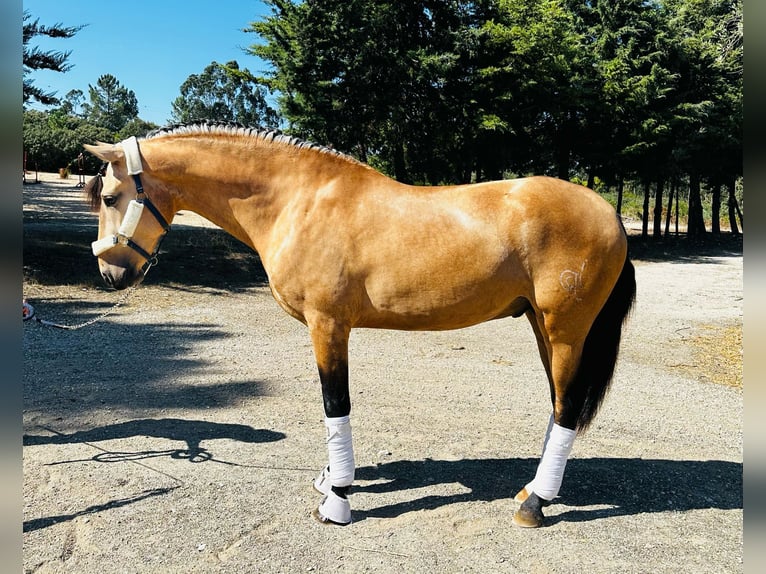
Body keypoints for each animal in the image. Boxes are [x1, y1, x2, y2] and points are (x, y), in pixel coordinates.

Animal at [84, 124, 636, 528]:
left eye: (109, 197)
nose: (111, 274)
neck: (298, 200)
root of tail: (610, 215)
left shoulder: (327, 325)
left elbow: (335, 404)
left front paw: (338, 498)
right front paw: (331, 478)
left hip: (565, 331)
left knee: (567, 408)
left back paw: (535, 504)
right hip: (544, 328)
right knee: (558, 404)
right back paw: (533, 490)